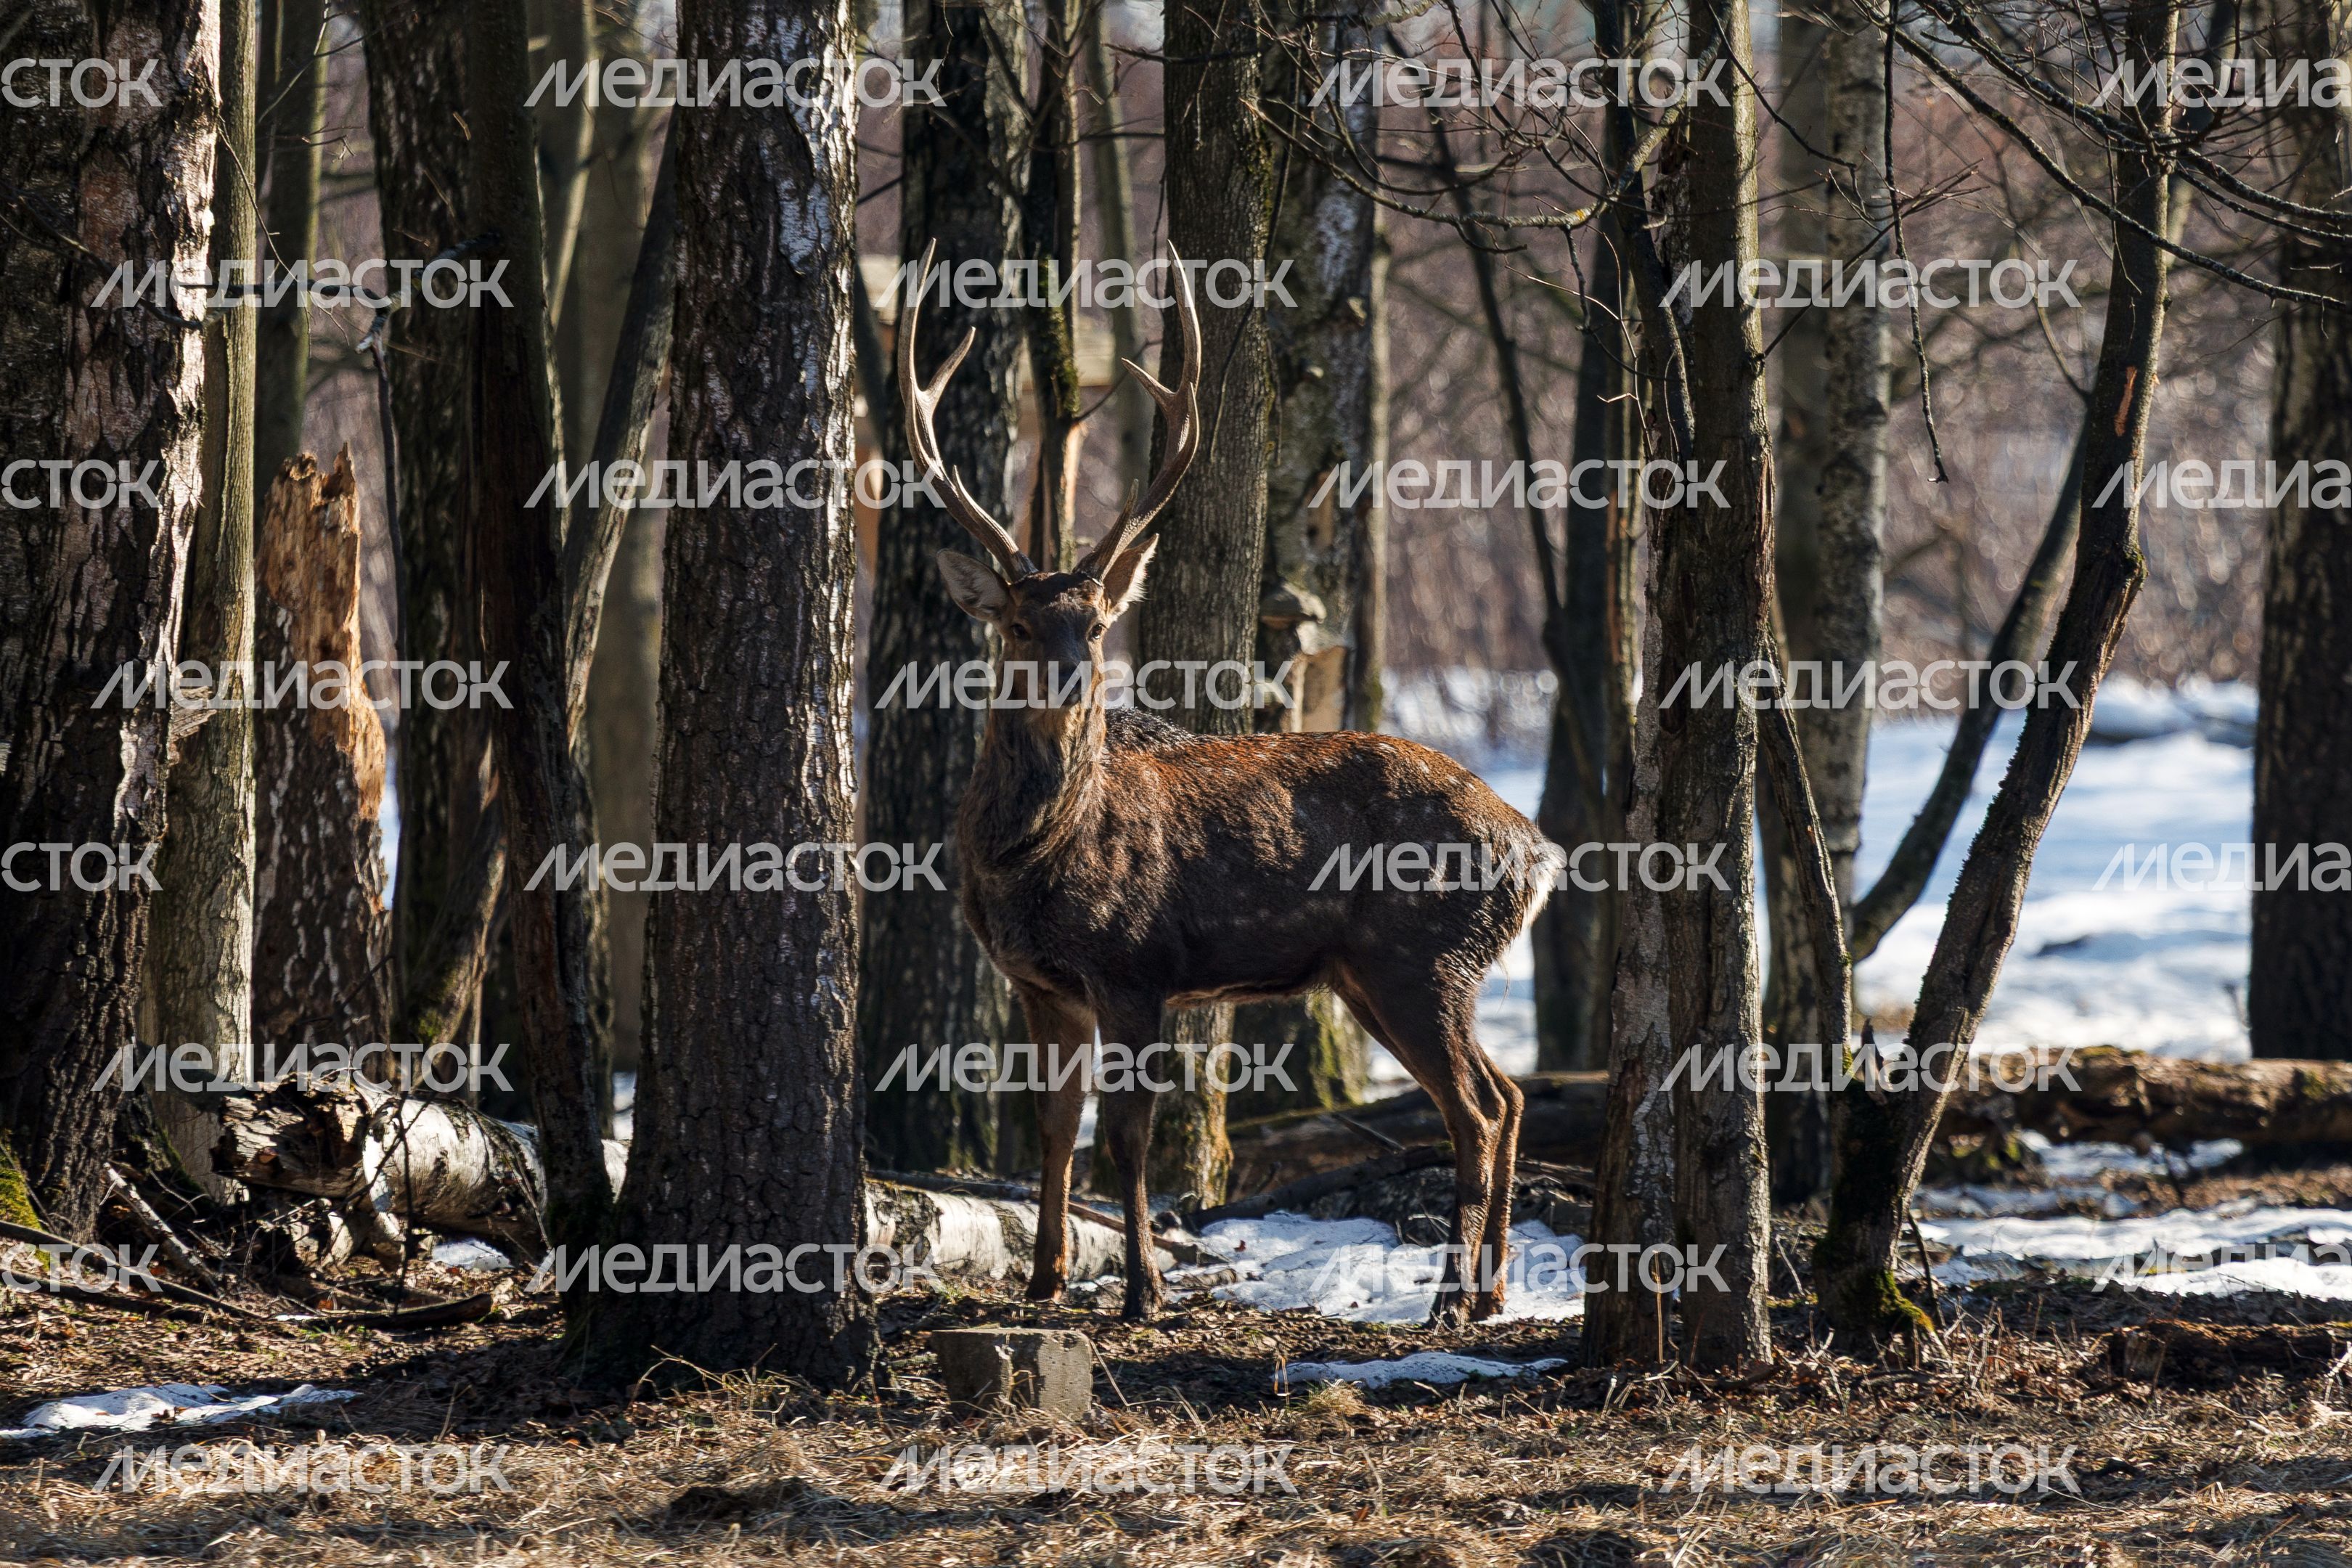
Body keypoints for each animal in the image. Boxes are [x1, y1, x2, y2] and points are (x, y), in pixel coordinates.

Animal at [898, 241, 1555, 1324]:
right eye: (1020, 623)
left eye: (1099, 624)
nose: (1072, 679)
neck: (1026, 864)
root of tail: (1535, 849)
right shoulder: (1039, 984)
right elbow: (1052, 1127)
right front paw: (1043, 1281)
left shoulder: (1132, 966)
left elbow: (1125, 1134)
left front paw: (1143, 1291)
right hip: (1387, 972)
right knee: (1509, 1092)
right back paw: (1493, 1293)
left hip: (1422, 954)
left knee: (1474, 1109)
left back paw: (1450, 1303)